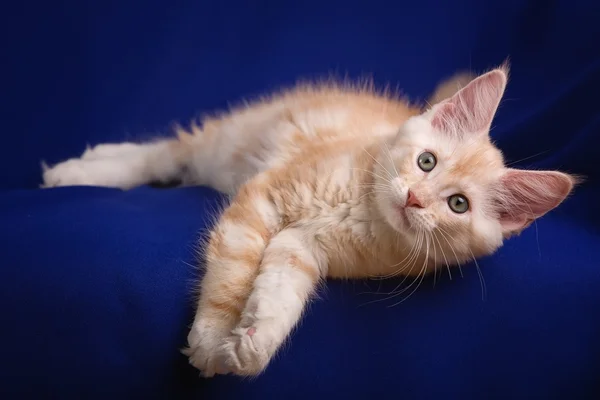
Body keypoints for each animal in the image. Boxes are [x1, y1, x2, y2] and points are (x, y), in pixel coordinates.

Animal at [42, 65, 576, 378]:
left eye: (458, 204)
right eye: (427, 162)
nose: (415, 199)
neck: (361, 211)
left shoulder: (303, 247)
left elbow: (283, 290)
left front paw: (254, 341)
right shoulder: (264, 198)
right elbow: (232, 274)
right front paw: (213, 337)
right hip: (225, 145)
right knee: (161, 155)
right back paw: (79, 171)